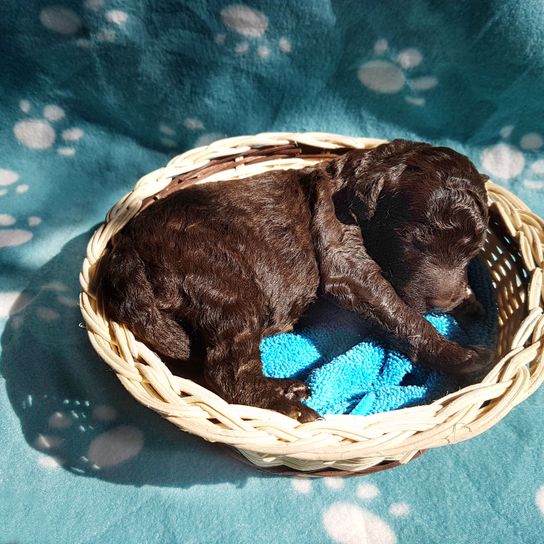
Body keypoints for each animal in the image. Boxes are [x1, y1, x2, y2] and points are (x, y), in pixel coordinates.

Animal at [94, 139, 492, 420]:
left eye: (475, 248)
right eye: (415, 241)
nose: (443, 303)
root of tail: (125, 247)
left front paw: (473, 304)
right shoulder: (347, 265)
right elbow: (405, 317)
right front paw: (463, 357)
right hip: (226, 286)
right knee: (225, 374)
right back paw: (289, 404)